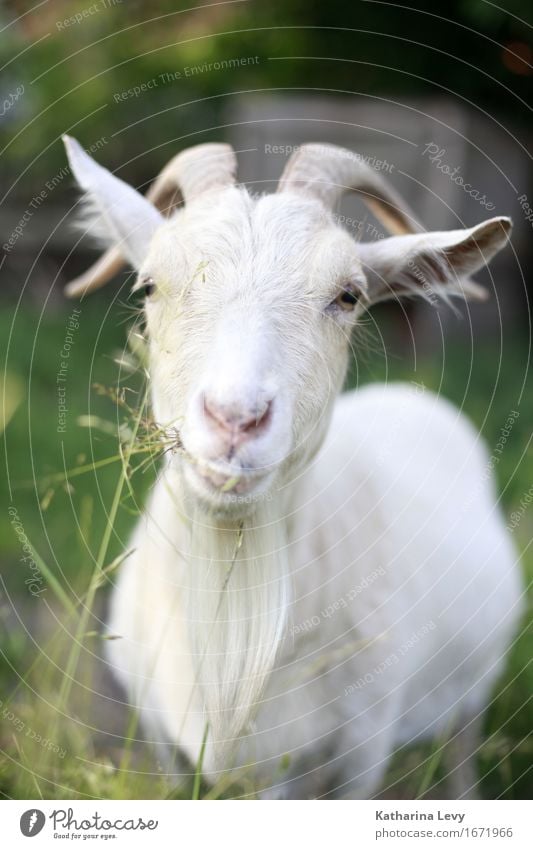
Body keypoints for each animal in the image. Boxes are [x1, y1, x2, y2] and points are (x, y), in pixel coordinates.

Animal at [63, 136, 524, 800]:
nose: (235, 418)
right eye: (148, 286)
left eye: (348, 294)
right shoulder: (160, 734)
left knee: (463, 741)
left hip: (475, 681)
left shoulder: (360, 750)